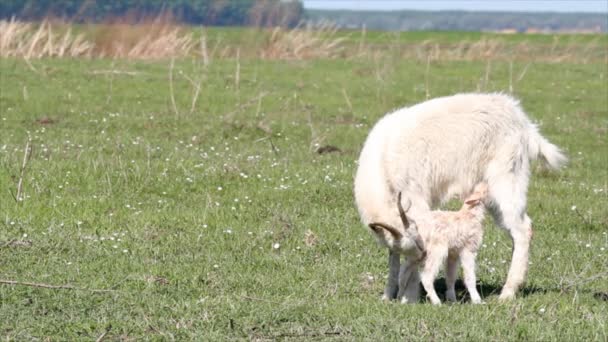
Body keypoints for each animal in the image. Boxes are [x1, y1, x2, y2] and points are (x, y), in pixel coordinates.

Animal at [354, 92, 568, 300]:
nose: (424, 256)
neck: (383, 163)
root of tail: (524, 123)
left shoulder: (415, 199)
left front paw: (410, 298)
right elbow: (392, 257)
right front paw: (388, 295)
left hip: (507, 177)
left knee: (523, 228)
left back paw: (507, 293)